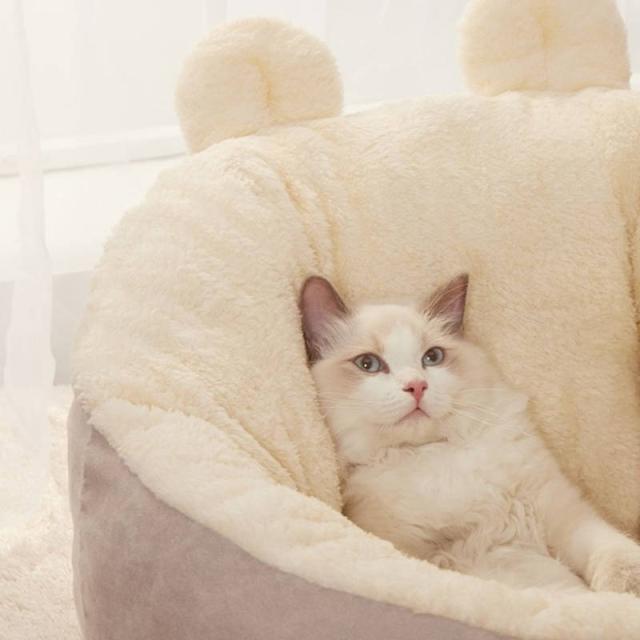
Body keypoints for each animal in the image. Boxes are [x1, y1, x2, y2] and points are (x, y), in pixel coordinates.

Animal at [300, 273, 640, 593]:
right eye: (368, 364)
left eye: (432, 357)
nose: (417, 386)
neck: (432, 455)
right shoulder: (430, 551)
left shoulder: (554, 504)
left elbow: (606, 547)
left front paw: (623, 590)